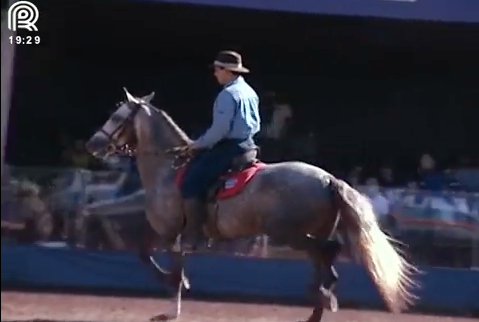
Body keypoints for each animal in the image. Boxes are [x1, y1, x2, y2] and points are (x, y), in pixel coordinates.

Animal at [85, 89, 416, 322]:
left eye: (116, 117)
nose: (92, 144)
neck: (168, 170)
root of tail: (328, 179)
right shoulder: (168, 232)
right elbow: (149, 254)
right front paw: (175, 296)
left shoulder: (169, 231)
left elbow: (161, 262)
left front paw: (173, 299)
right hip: (307, 233)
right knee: (324, 259)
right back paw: (318, 305)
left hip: (287, 233)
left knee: (328, 253)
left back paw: (321, 296)